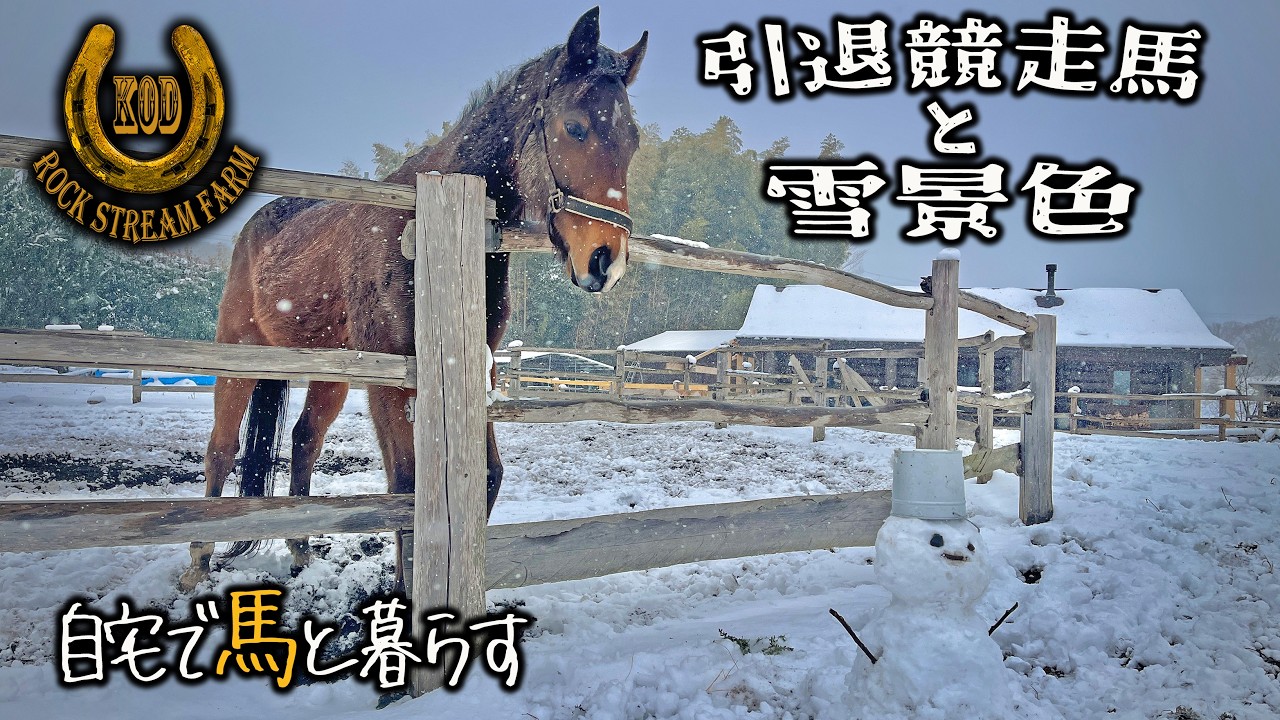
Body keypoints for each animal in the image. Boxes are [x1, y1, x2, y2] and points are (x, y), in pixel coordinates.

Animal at [179, 7, 647, 590]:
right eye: (575, 127)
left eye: (632, 141)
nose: (606, 260)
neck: (429, 227)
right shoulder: (396, 378)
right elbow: (405, 486)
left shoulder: (472, 369)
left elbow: (483, 477)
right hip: (240, 351)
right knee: (222, 450)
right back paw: (198, 564)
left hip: (331, 373)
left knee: (304, 438)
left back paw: (301, 553)